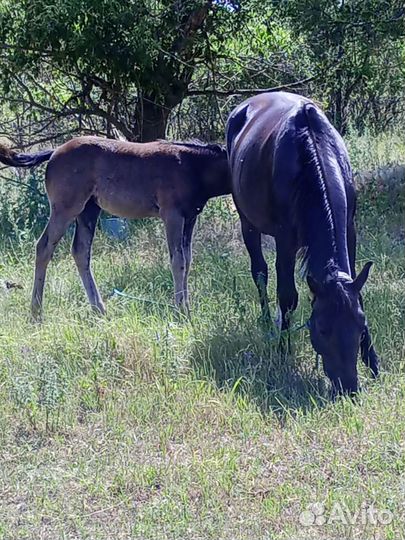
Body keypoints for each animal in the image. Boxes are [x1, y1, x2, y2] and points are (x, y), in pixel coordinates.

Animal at [0, 137, 230, 318]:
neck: (193, 167)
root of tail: (55, 151)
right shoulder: (172, 215)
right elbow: (178, 261)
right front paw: (181, 313)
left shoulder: (190, 218)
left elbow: (188, 260)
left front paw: (186, 308)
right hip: (65, 208)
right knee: (44, 247)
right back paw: (36, 313)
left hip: (89, 210)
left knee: (80, 251)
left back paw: (99, 310)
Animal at [227, 92, 378, 396]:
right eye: (322, 329)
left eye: (360, 325)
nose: (348, 388)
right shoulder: (285, 240)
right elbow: (287, 296)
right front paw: (283, 353)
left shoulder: (350, 229)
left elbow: (358, 289)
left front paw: (373, 361)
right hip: (247, 222)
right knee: (259, 272)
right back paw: (266, 324)